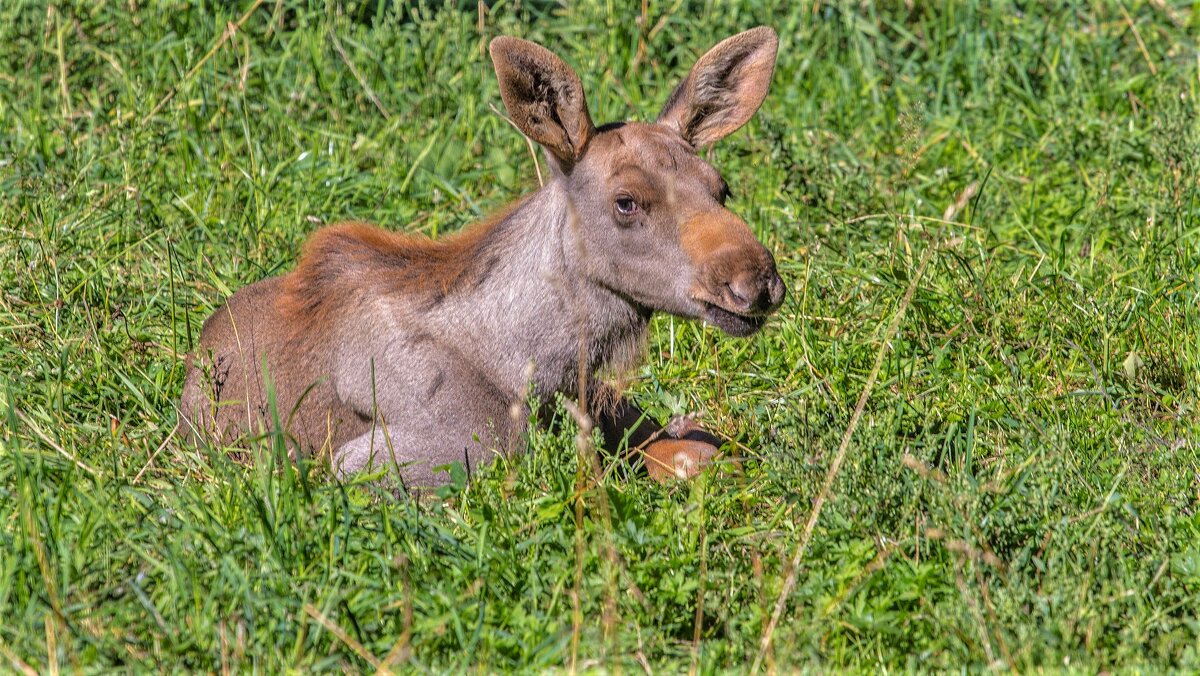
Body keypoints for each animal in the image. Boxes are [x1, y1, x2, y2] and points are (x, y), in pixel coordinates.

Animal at [175, 25, 787, 487]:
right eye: (627, 202)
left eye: (721, 187)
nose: (756, 281)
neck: (534, 365)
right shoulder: (389, 459)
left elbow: (700, 452)